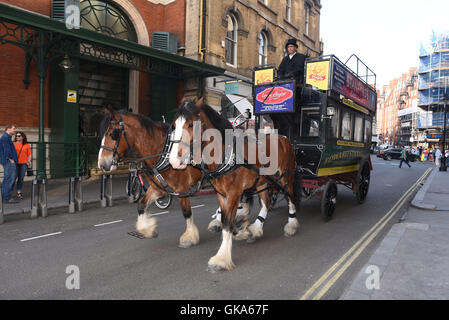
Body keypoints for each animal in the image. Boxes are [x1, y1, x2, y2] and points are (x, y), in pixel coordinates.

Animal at [167, 99, 298, 272]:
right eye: (175, 125)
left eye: (190, 124)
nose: (174, 161)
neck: (226, 155)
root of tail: (284, 138)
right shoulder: (221, 194)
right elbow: (224, 221)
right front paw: (240, 231)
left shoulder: (234, 193)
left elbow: (228, 224)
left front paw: (221, 259)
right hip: (262, 181)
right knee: (266, 203)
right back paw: (256, 230)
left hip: (286, 177)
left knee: (290, 198)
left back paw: (291, 225)